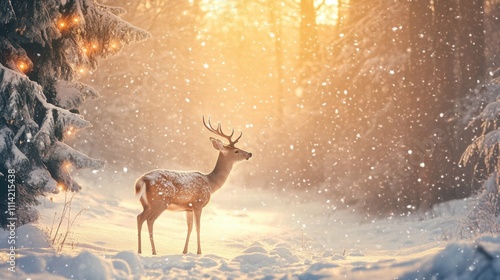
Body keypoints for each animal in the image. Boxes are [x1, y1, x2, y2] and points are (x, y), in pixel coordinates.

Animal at [135, 115, 252, 255]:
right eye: (236, 151)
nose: (250, 154)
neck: (211, 183)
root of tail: (142, 181)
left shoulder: (188, 208)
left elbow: (189, 228)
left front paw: (184, 251)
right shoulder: (198, 203)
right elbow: (198, 228)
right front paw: (199, 252)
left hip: (146, 204)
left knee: (139, 217)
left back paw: (140, 250)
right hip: (160, 201)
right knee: (149, 220)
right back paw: (154, 251)